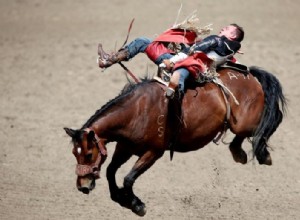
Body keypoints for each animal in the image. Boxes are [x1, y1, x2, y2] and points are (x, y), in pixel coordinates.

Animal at [63, 66, 286, 215]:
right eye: (75, 153)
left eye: (88, 154)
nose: (82, 186)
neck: (137, 111)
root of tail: (249, 74)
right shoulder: (125, 147)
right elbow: (110, 171)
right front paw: (121, 198)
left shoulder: (153, 152)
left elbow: (128, 178)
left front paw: (136, 204)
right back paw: (238, 152)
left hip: (245, 123)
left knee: (273, 119)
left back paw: (262, 154)